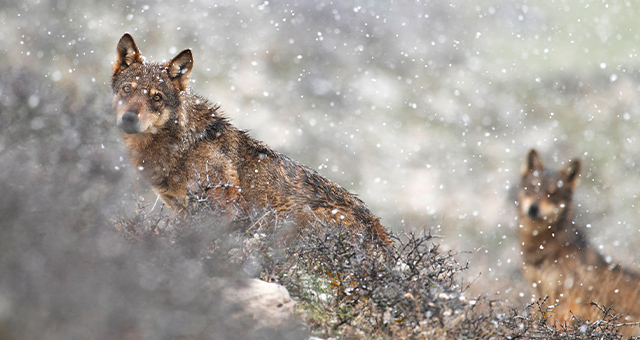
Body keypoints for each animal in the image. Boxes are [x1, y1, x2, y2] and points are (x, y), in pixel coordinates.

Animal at [110, 33, 390, 248]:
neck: (183, 145)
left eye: (156, 98)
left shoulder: (227, 206)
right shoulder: (182, 210)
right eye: (127, 89)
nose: (129, 118)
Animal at [516, 149, 640, 334]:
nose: (533, 208)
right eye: (532, 188)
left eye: (552, 194)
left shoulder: (565, 296)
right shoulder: (537, 289)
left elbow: (558, 323)